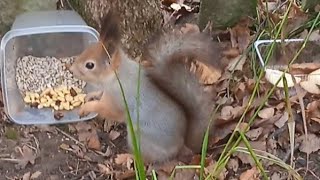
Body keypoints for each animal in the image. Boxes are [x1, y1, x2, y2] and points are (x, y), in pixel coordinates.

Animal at [69, 10, 224, 163]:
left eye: (90, 65)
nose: (71, 69)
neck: (116, 76)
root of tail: (181, 145)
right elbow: (99, 93)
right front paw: (90, 95)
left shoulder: (118, 100)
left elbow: (106, 110)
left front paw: (86, 107)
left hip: (139, 137)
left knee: (145, 159)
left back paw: (126, 157)